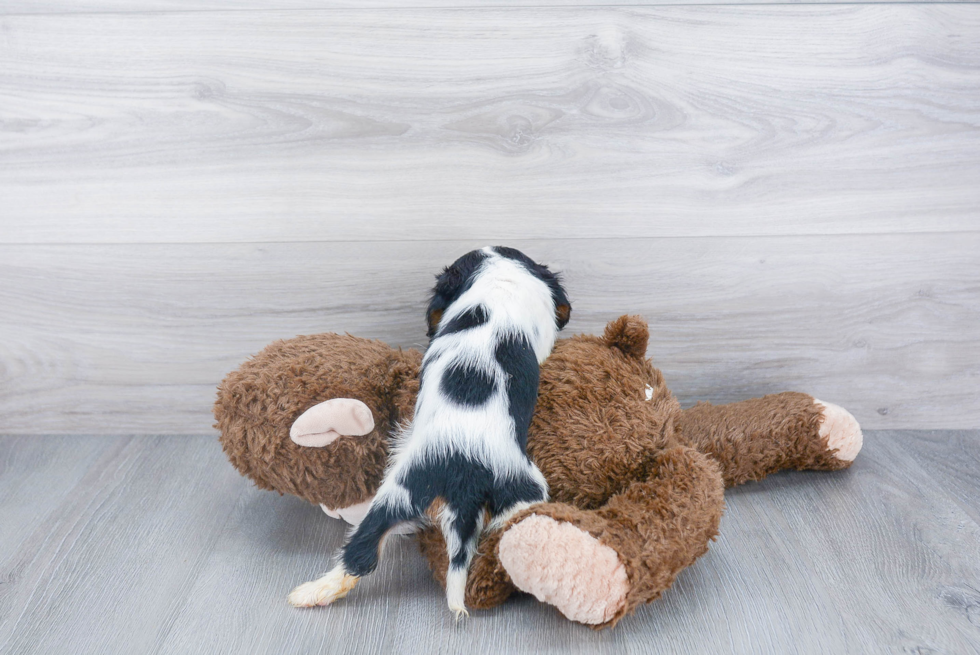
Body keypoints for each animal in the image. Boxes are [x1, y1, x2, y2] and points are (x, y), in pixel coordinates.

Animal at [288, 247, 572, 620]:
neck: (499, 277)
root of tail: (464, 469)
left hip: (399, 493)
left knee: (361, 552)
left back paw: (312, 592)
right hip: (522, 492)